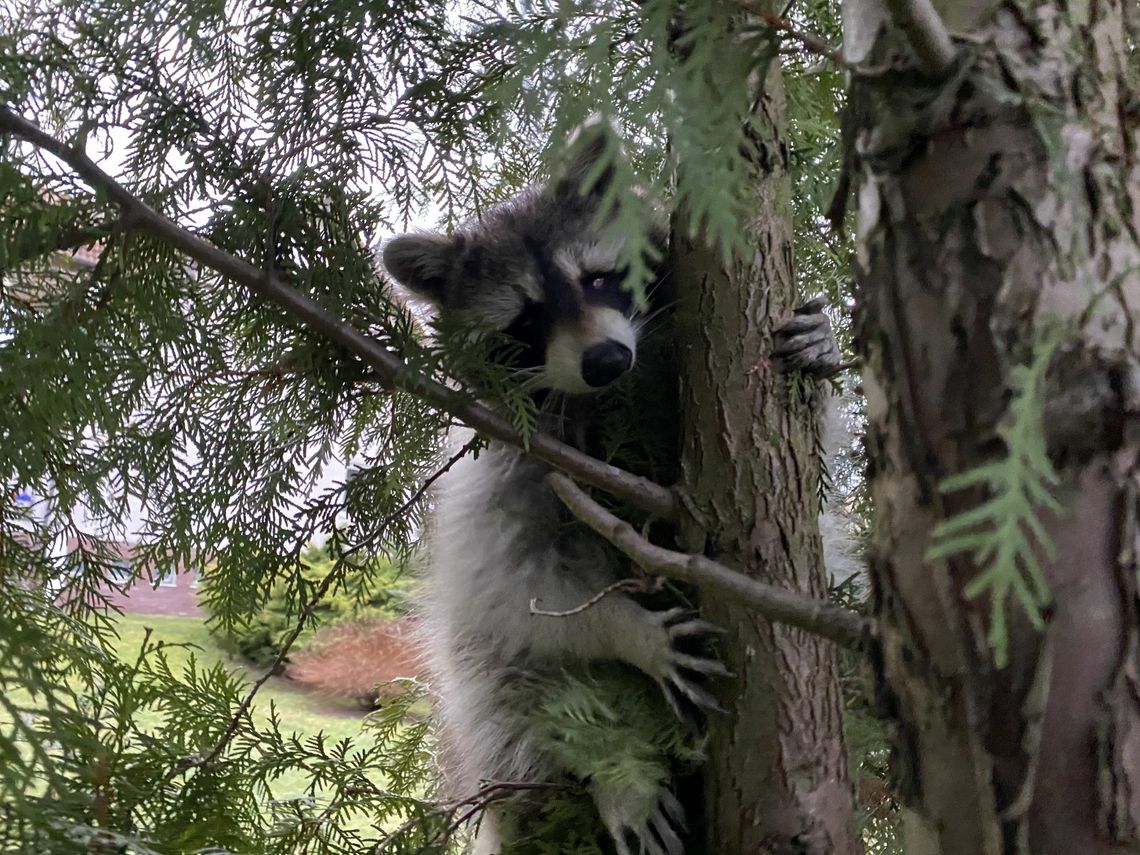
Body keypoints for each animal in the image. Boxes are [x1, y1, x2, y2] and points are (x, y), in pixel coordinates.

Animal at [387, 123, 843, 852]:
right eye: (526, 321)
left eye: (598, 278)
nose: (605, 360)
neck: (613, 394)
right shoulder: (507, 467)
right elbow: (517, 583)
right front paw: (626, 629)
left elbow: (809, 475)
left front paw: (822, 351)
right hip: (486, 693)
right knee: (511, 689)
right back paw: (612, 769)